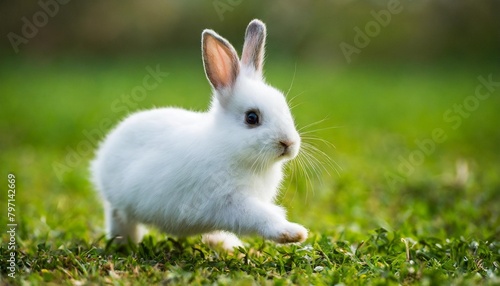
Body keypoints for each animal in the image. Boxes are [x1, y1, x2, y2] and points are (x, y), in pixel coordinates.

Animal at [91, 19, 306, 250]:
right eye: (251, 118)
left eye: (284, 107)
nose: (288, 143)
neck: (227, 147)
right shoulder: (228, 202)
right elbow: (261, 216)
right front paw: (293, 233)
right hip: (119, 204)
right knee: (120, 219)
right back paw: (125, 244)